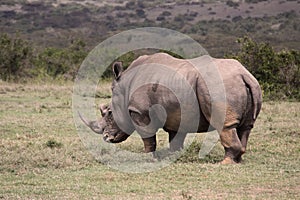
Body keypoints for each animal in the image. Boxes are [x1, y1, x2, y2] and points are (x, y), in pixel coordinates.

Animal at [79, 53, 260, 164]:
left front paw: (148, 159)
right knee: (246, 127)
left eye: (109, 113)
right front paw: (174, 156)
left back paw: (224, 163)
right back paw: (238, 160)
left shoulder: (139, 111)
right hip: (248, 84)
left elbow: (148, 137)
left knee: (225, 125)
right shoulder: (177, 112)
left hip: (219, 85)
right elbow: (175, 138)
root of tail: (243, 74)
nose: (106, 138)